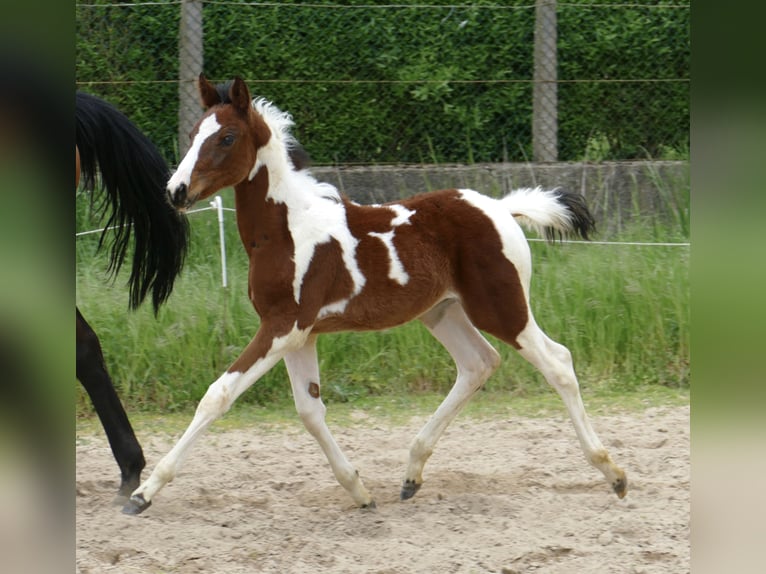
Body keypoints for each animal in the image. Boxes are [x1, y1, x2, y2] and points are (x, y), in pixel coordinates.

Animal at [123, 74, 628, 516]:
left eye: (227, 137)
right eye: (193, 134)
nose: (176, 191)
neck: (287, 230)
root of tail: (501, 209)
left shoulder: (283, 326)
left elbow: (218, 395)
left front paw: (143, 494)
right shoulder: (300, 333)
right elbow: (310, 411)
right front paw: (359, 491)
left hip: (501, 308)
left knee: (557, 361)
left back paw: (613, 473)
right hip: (443, 312)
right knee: (478, 363)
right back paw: (411, 474)